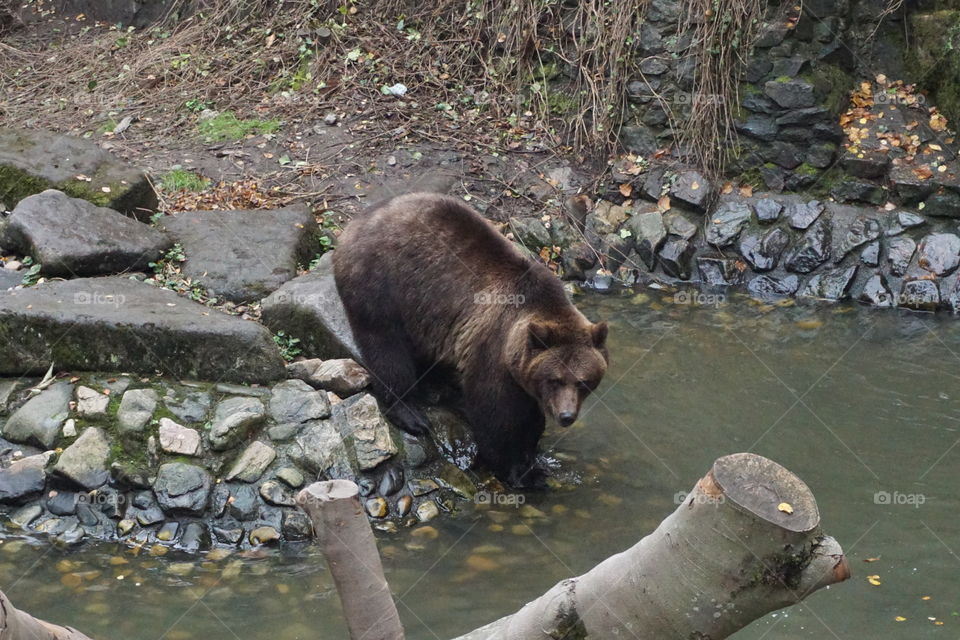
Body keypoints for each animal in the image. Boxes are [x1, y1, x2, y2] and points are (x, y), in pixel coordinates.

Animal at [336, 192, 608, 488]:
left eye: (583, 381)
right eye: (555, 379)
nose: (567, 416)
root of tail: (355, 222)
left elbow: (530, 416)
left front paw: (532, 457)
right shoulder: (493, 349)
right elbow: (495, 414)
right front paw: (517, 469)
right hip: (381, 284)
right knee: (386, 347)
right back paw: (411, 414)